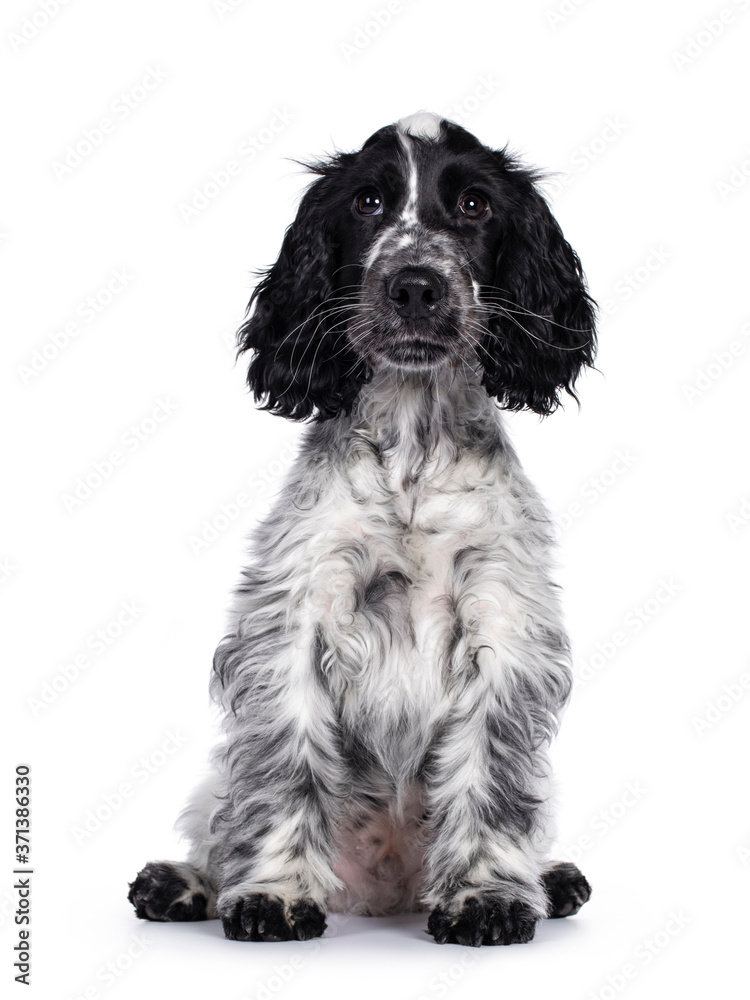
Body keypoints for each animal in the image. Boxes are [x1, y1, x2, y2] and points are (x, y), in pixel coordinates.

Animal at [131, 111, 600, 944]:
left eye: (475, 204)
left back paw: (553, 879)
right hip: (218, 790)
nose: (415, 284)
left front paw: (487, 898)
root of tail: (385, 897)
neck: (412, 451)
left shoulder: (503, 621)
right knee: (217, 827)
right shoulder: (294, 618)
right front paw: (274, 895)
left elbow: (489, 773)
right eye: (368, 202)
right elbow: (283, 769)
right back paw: (180, 885)